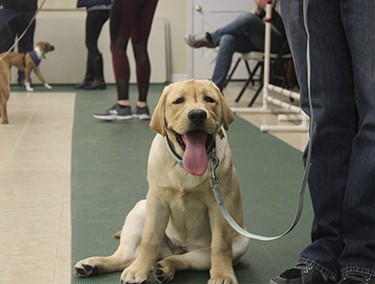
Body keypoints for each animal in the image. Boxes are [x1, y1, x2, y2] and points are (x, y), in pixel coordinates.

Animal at [73, 80, 250, 284]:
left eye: (209, 99)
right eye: (179, 101)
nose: (197, 114)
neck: (183, 166)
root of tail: (177, 247)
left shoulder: (219, 206)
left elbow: (220, 245)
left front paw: (223, 275)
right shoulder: (157, 201)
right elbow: (150, 239)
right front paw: (139, 270)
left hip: (233, 245)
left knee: (182, 259)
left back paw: (164, 268)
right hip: (140, 209)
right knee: (127, 256)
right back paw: (93, 265)